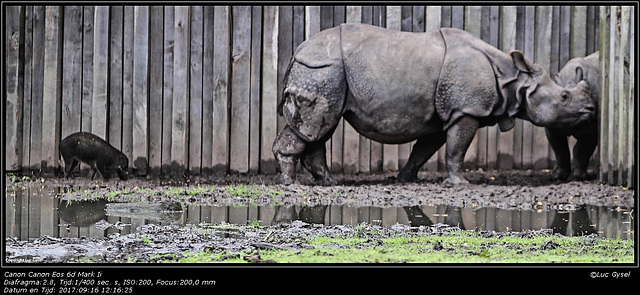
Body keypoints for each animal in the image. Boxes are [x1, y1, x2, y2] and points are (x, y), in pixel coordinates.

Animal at [548, 51, 596, 180]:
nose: (589, 109)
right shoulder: (552, 127)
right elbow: (560, 149)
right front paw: (558, 176)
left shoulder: (592, 127)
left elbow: (581, 150)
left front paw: (578, 177)